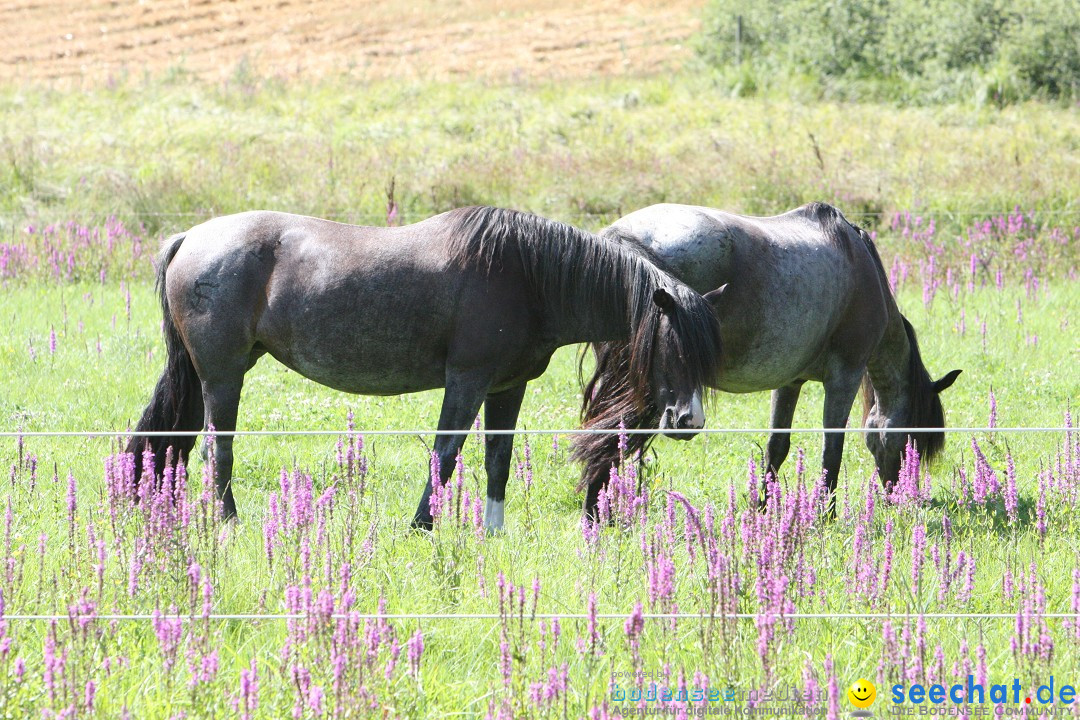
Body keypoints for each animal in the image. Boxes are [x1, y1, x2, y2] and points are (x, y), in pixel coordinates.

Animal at [126, 205, 721, 533]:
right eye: (673, 346)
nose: (688, 421)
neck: (528, 275)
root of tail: (190, 238)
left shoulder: (507, 388)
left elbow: (498, 461)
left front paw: (493, 535)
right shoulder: (467, 380)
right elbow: (446, 454)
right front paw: (420, 526)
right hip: (223, 376)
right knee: (218, 448)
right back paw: (228, 522)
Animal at [574, 199, 963, 509]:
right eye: (913, 441)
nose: (900, 495)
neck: (860, 265)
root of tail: (620, 240)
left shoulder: (790, 381)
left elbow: (777, 446)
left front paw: (764, 510)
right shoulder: (845, 378)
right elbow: (831, 450)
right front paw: (825, 515)